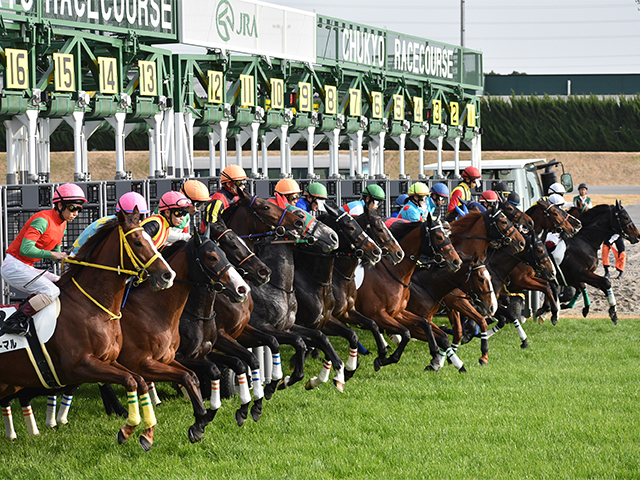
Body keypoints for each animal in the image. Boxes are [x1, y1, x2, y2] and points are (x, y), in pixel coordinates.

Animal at [0, 211, 175, 450]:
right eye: (138, 242)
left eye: (151, 239)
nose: (168, 275)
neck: (91, 305)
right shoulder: (79, 365)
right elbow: (130, 381)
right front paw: (127, 428)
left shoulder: (108, 360)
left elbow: (138, 380)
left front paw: (146, 433)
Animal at [356, 216, 460, 370]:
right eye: (439, 237)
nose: (457, 261)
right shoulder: (377, 314)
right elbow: (406, 333)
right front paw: (384, 359)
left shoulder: (398, 313)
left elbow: (427, 325)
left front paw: (435, 354)